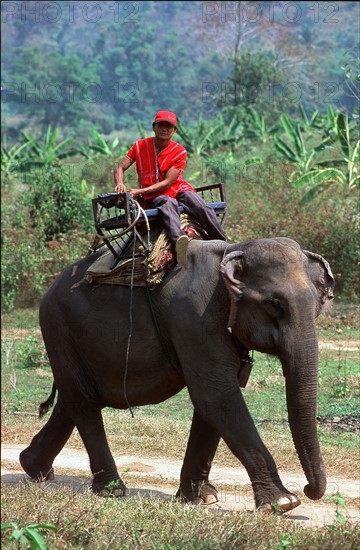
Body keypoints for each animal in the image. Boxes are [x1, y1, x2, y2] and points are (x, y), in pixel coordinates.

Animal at [19, 236, 334, 512]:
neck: (234, 250)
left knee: (73, 399)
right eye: (274, 304)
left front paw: (201, 499)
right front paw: (284, 503)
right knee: (83, 402)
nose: (308, 489)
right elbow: (216, 395)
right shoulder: (194, 317)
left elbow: (215, 400)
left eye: (317, 304)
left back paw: (33, 467)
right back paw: (112, 490)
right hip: (57, 326)